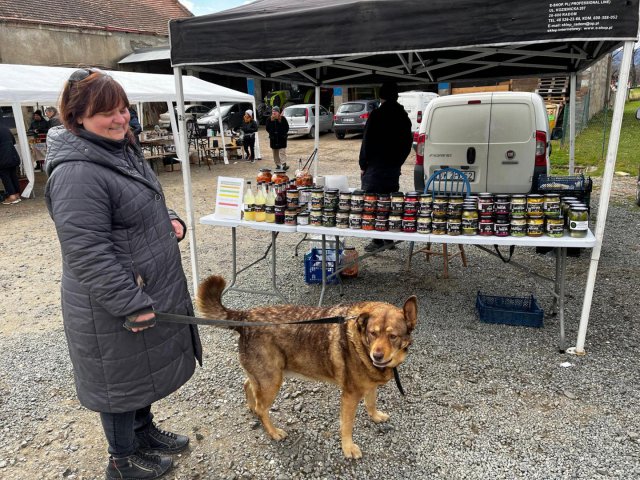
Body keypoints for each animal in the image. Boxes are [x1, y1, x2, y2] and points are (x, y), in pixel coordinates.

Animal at [195, 274, 418, 458]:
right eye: (373, 333)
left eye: (393, 336)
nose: (377, 356)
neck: (360, 339)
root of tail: (245, 317)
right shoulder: (350, 395)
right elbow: (347, 425)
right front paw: (348, 448)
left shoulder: (368, 385)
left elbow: (371, 402)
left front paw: (375, 416)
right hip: (272, 380)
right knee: (262, 407)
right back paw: (273, 431)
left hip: (264, 375)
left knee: (248, 386)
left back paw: (252, 407)